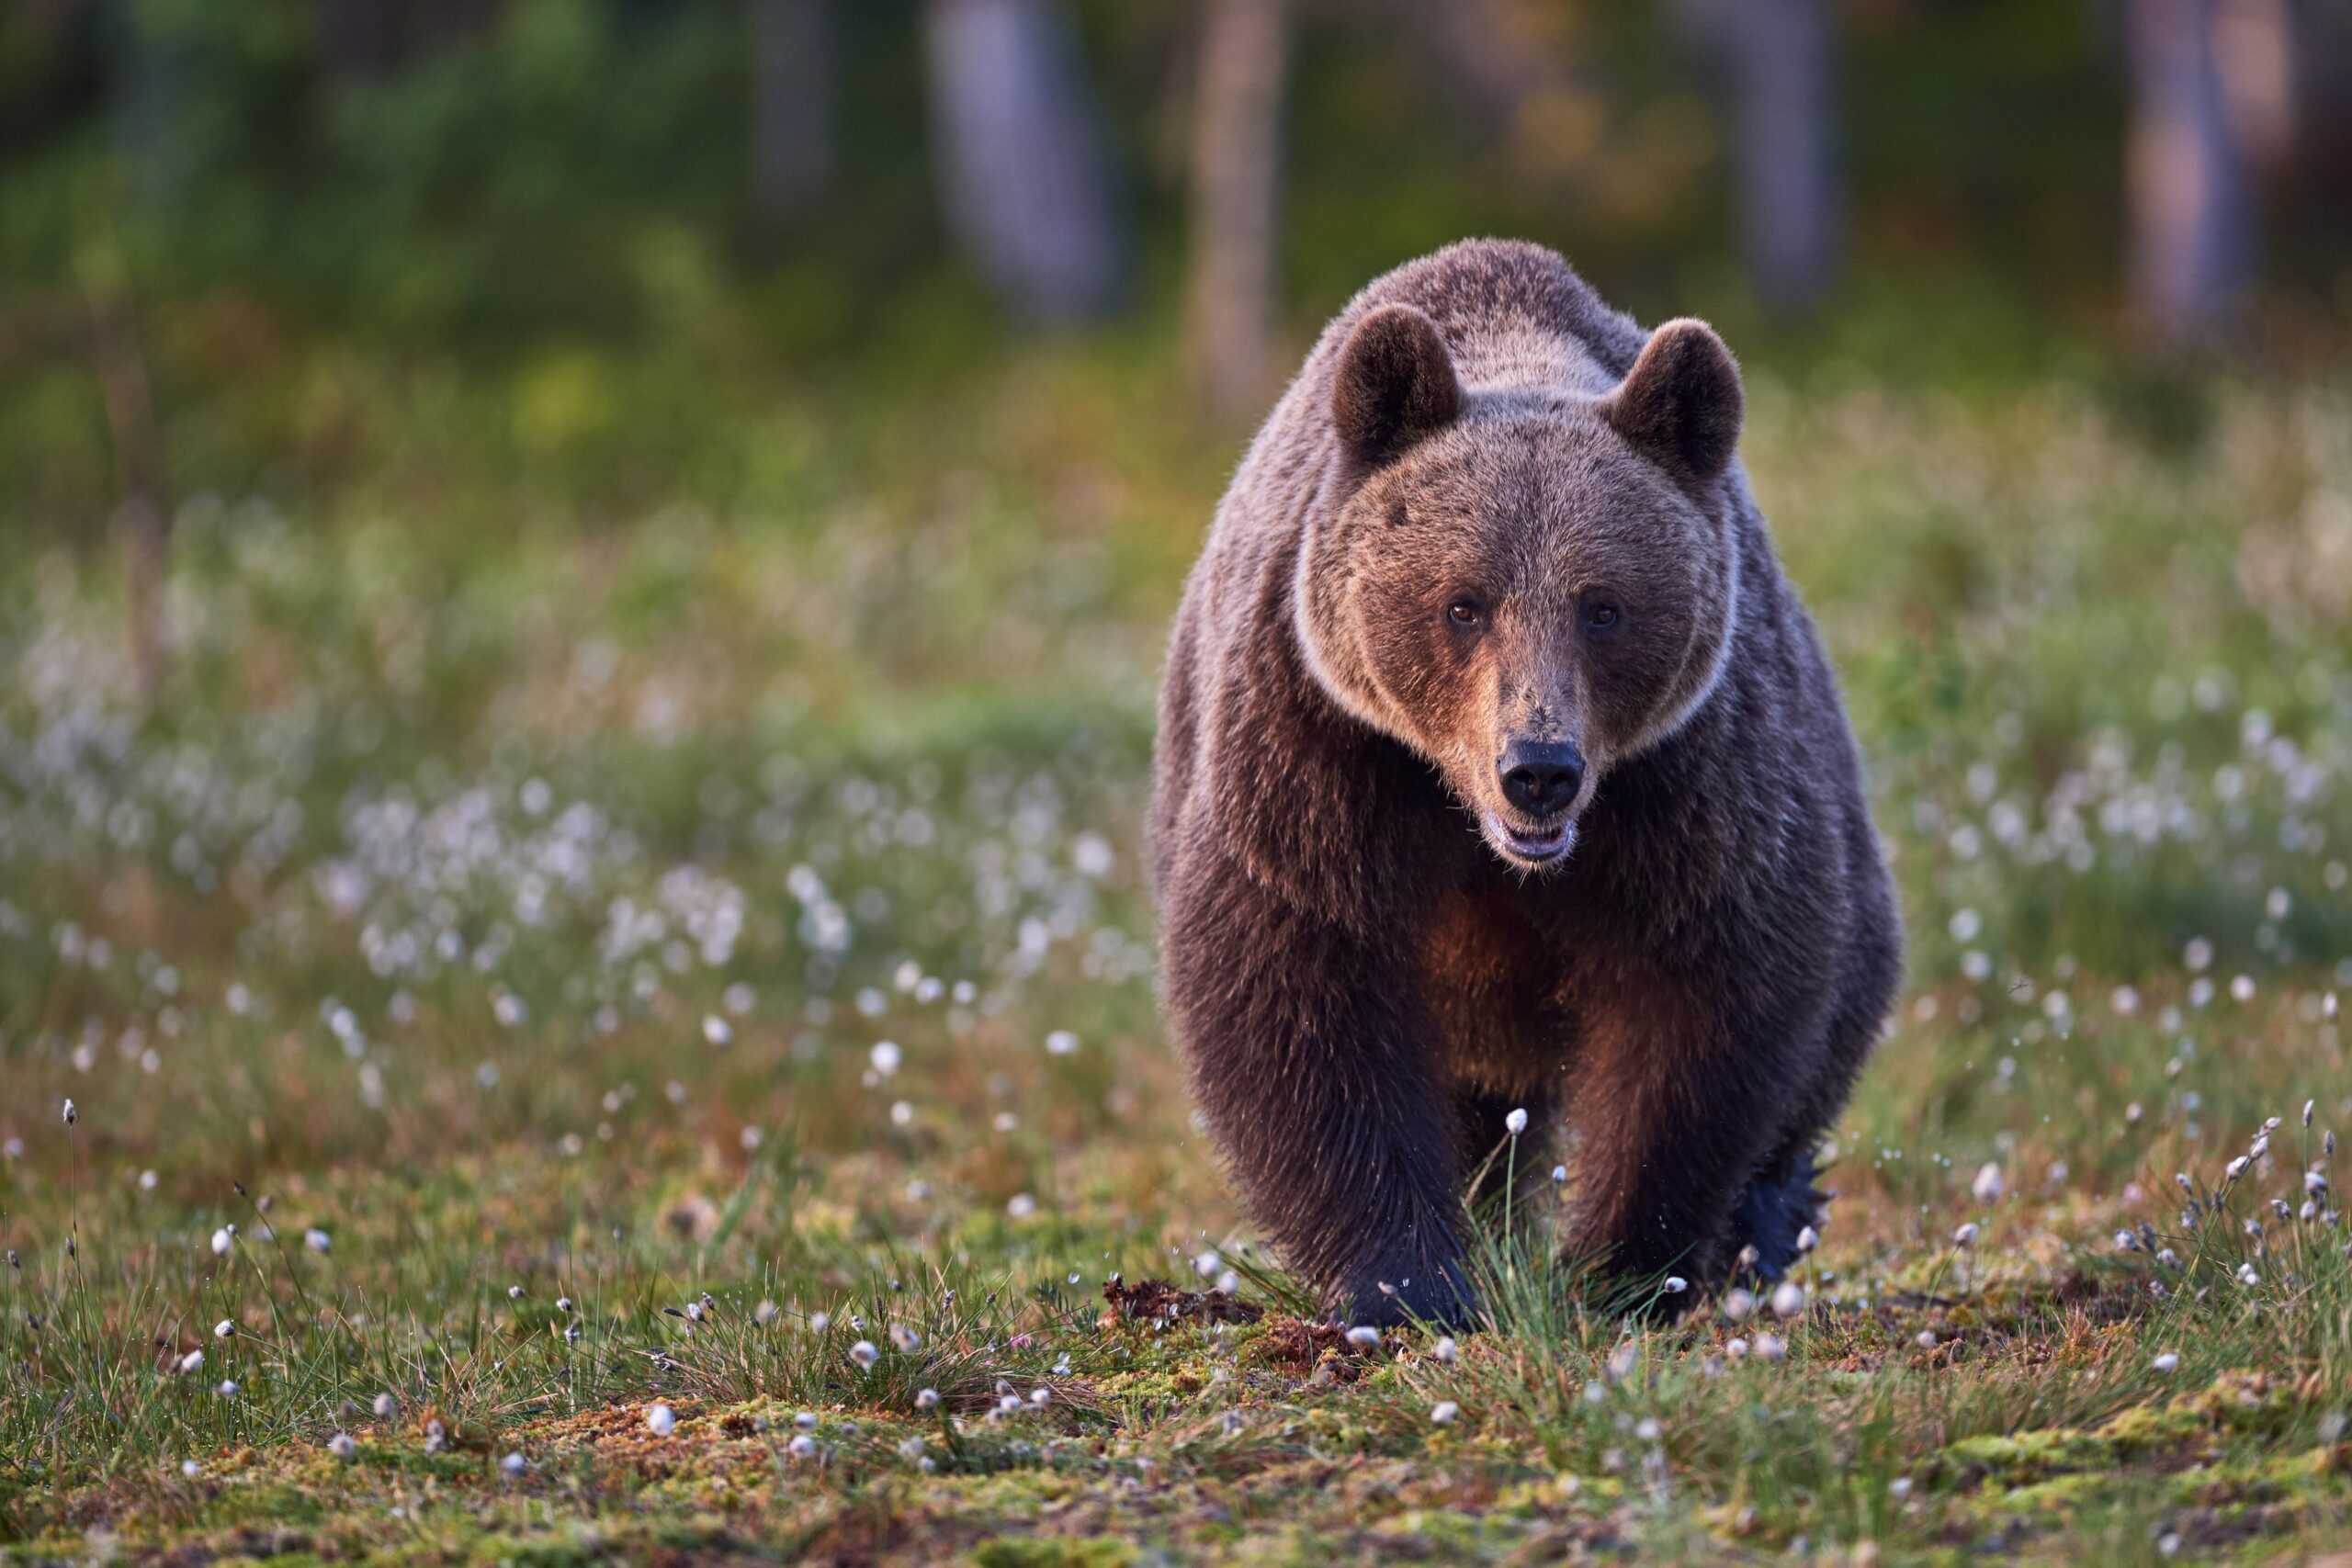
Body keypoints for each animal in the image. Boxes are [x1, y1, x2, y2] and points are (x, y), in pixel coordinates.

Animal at [1148, 242, 1900, 1325]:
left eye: (1603, 606)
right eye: (1463, 603)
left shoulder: (1690, 776)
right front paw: (1408, 1281)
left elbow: (1704, 992)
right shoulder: (1319, 744)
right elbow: (1303, 983)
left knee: (1836, 1006)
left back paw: (1766, 1219)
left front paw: (1623, 1268)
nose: (1538, 769)